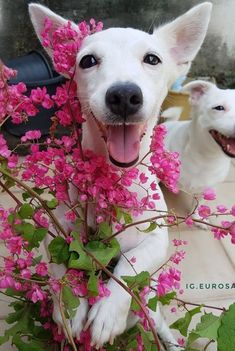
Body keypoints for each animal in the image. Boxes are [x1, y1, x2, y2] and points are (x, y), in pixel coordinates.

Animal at [28, 2, 211, 350]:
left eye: (152, 59)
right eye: (87, 60)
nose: (124, 95)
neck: (111, 181)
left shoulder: (157, 239)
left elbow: (132, 262)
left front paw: (107, 310)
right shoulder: (55, 232)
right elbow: (64, 259)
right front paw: (72, 305)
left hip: (150, 308)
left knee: (159, 325)